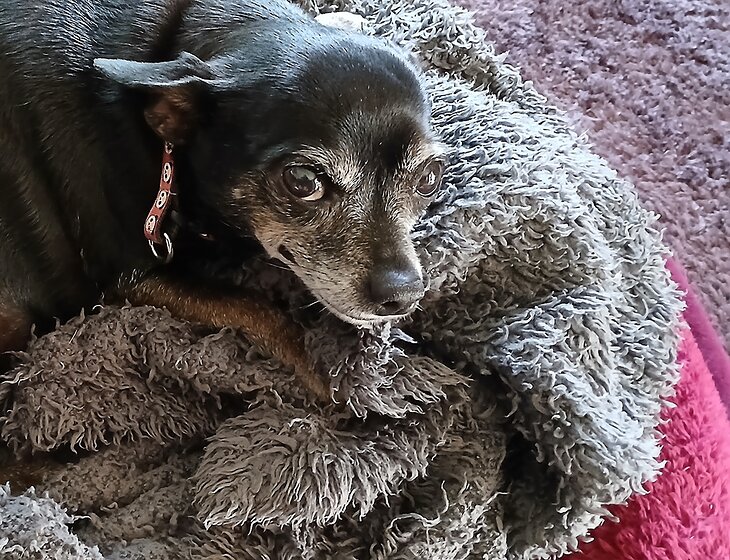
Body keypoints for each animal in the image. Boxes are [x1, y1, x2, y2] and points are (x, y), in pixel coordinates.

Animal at [0, 0, 444, 397]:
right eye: (303, 180)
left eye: (430, 178)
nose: (404, 294)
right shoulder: (131, 279)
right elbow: (256, 307)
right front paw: (323, 374)